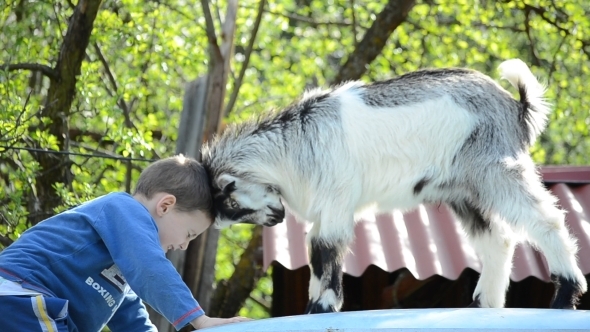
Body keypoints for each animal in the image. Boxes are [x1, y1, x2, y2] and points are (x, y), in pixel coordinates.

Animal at [202, 59, 588, 312]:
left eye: (233, 204)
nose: (275, 218)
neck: (295, 144)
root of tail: (516, 107)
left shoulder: (337, 198)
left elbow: (326, 247)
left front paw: (323, 306)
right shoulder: (324, 207)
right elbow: (316, 251)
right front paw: (314, 305)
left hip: (497, 170)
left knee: (546, 221)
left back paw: (564, 296)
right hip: (464, 191)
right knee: (499, 238)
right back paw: (484, 304)